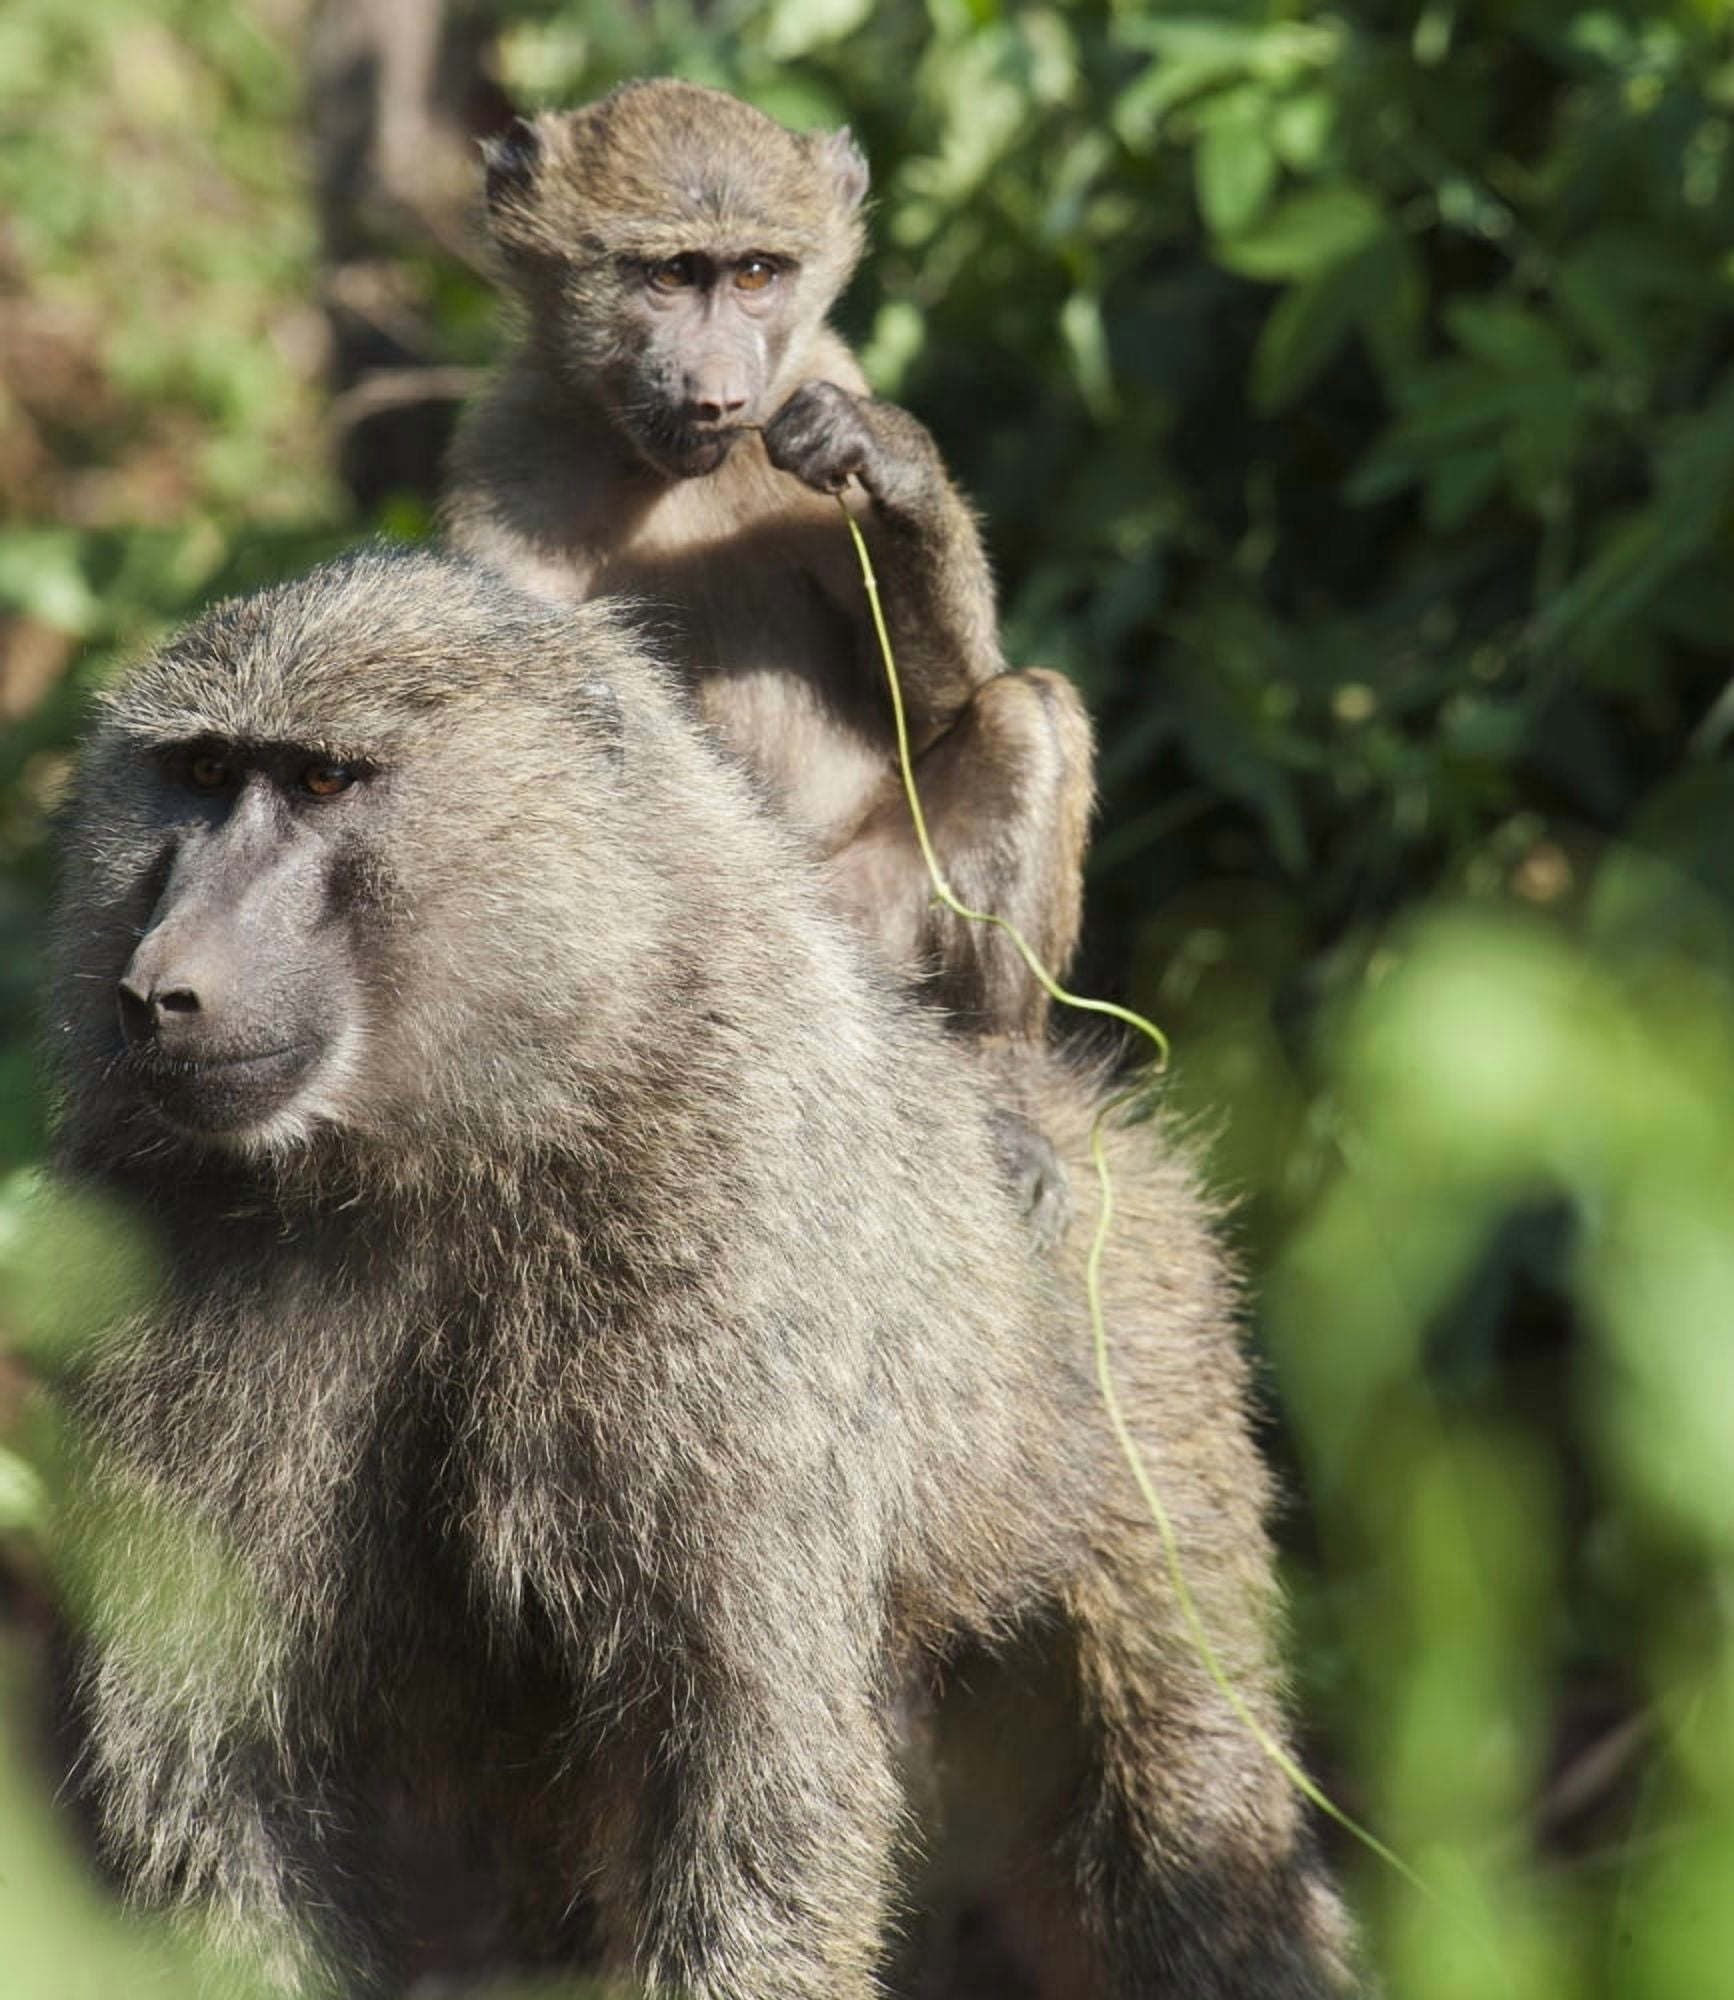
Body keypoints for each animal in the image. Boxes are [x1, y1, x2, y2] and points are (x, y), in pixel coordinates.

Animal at [45, 547, 1358, 1998]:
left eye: (324, 780)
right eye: (203, 774)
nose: (160, 985)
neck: (460, 1143)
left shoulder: (721, 1240)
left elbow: (750, 1756)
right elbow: (213, 1772)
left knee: (1187, 1826)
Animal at [442, 77, 1096, 1234]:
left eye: (754, 275)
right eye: (668, 275)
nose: (716, 395)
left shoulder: (821, 387)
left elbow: (937, 704)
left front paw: (890, 460)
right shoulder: (507, 472)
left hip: (877, 926)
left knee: (1027, 712)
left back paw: (1000, 1092)